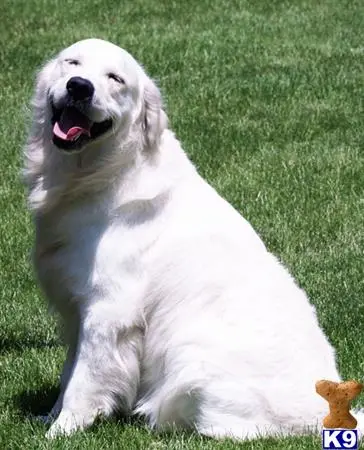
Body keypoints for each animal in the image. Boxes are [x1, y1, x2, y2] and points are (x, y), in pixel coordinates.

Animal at [23, 38, 362, 440]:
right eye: (72, 63)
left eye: (115, 78)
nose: (79, 87)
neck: (98, 175)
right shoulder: (78, 309)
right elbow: (68, 373)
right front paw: (49, 416)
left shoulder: (108, 310)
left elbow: (84, 381)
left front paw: (61, 431)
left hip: (190, 357)